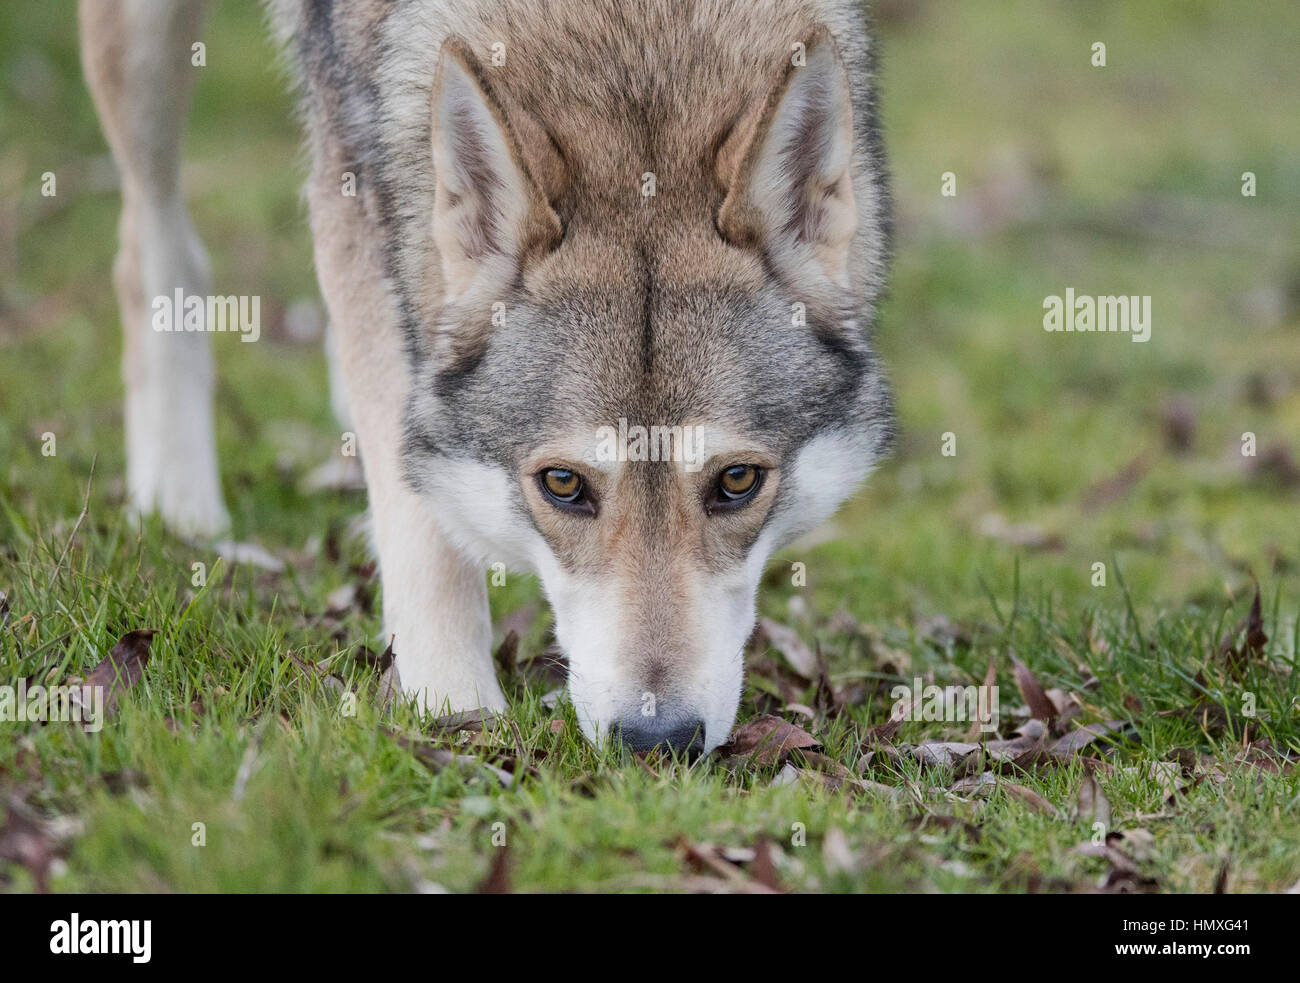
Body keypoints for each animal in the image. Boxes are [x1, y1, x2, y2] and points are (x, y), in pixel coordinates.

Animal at [79, 0, 893, 754]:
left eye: (736, 482)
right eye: (563, 485)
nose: (655, 740)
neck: (632, 37)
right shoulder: (353, 180)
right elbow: (422, 523)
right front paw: (454, 708)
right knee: (152, 244)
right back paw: (178, 503)